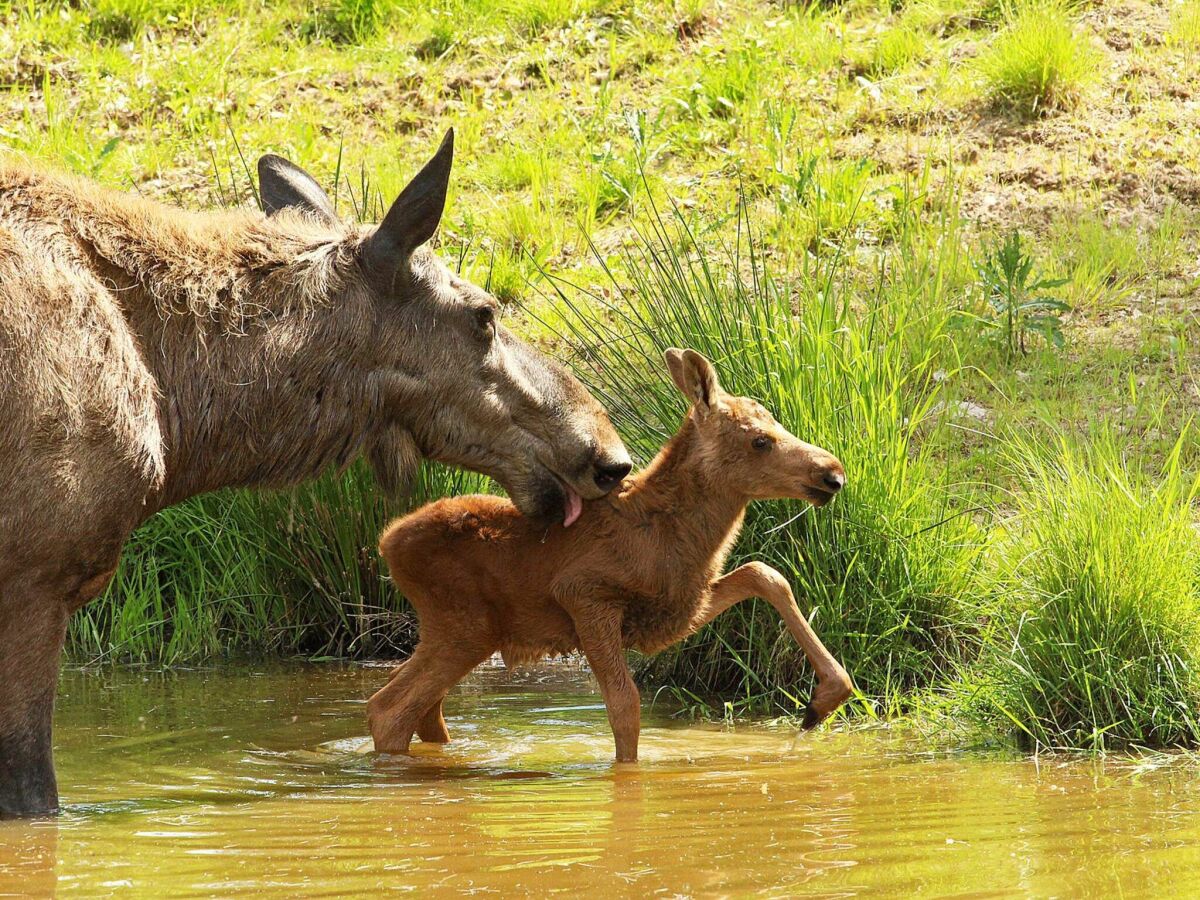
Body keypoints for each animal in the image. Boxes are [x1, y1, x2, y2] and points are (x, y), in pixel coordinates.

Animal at [369, 350, 849, 763]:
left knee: (416, 703)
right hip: (464, 626)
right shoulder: (585, 595)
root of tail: (386, 542)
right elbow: (624, 706)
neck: (673, 536)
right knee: (388, 708)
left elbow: (763, 573)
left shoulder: (677, 608)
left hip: (458, 631)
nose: (833, 473)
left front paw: (825, 699)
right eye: (760, 440)